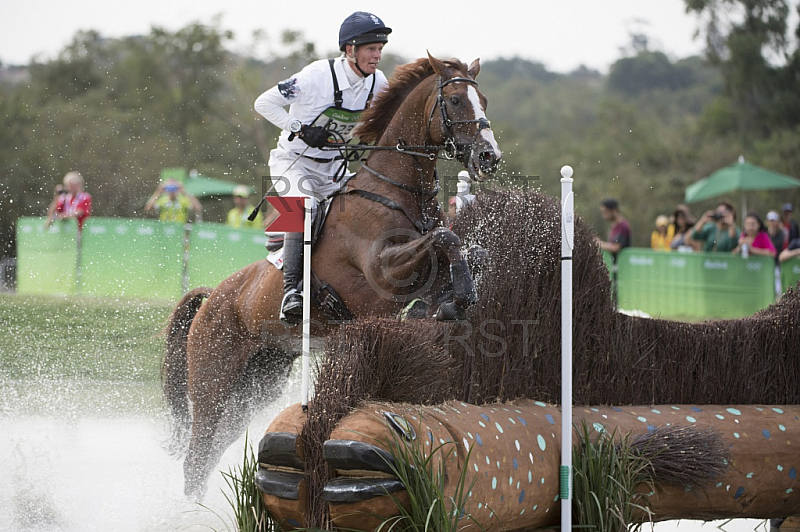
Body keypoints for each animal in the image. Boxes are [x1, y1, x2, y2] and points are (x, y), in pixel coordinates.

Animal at [162, 54, 500, 498]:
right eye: (458, 101)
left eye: (485, 100)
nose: (489, 157)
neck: (394, 191)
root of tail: (213, 296)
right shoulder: (384, 270)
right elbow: (445, 238)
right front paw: (457, 296)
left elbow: (463, 250)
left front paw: (453, 300)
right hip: (213, 383)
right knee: (195, 456)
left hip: (254, 387)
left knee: (209, 453)